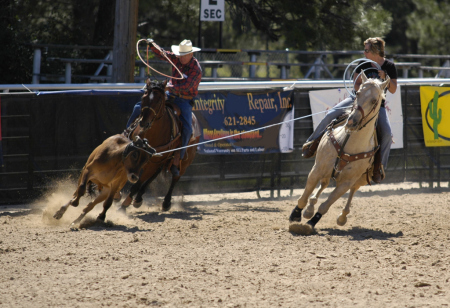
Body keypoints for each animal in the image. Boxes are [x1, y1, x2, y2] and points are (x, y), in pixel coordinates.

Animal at [118, 79, 200, 212]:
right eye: (144, 97)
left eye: (159, 100)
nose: (144, 122)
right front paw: (117, 195)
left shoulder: (152, 163)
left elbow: (137, 183)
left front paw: (124, 205)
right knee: (154, 176)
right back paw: (138, 199)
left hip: (183, 161)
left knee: (175, 177)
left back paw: (166, 202)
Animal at [288, 72, 390, 235]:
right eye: (358, 93)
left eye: (375, 100)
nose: (352, 122)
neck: (348, 144)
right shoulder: (317, 169)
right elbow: (304, 195)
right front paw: (296, 215)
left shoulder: (346, 182)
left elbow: (326, 204)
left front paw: (311, 223)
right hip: (327, 171)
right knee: (323, 184)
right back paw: (309, 208)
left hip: (361, 179)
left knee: (352, 190)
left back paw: (342, 217)